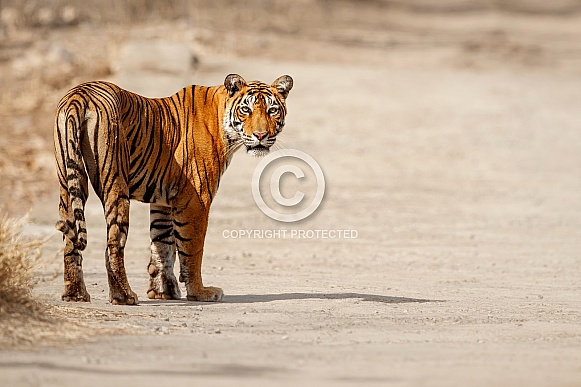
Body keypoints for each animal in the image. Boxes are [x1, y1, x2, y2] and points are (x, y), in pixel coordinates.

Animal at [52, 73, 292, 306]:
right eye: (246, 110)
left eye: (272, 110)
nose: (260, 136)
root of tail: (79, 94)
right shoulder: (196, 200)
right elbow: (192, 249)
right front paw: (199, 292)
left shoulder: (163, 199)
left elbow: (162, 245)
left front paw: (162, 291)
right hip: (115, 182)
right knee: (113, 243)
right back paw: (124, 296)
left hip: (69, 182)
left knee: (70, 242)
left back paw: (75, 295)